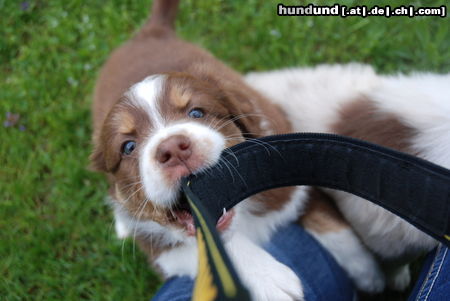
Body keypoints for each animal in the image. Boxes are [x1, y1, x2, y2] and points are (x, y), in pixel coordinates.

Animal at [92, 1, 386, 298]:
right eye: (128, 147)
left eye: (196, 112)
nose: (173, 148)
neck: (244, 215)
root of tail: (150, 32)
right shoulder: (163, 252)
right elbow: (206, 248)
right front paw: (272, 281)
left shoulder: (293, 178)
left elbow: (331, 223)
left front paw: (369, 272)